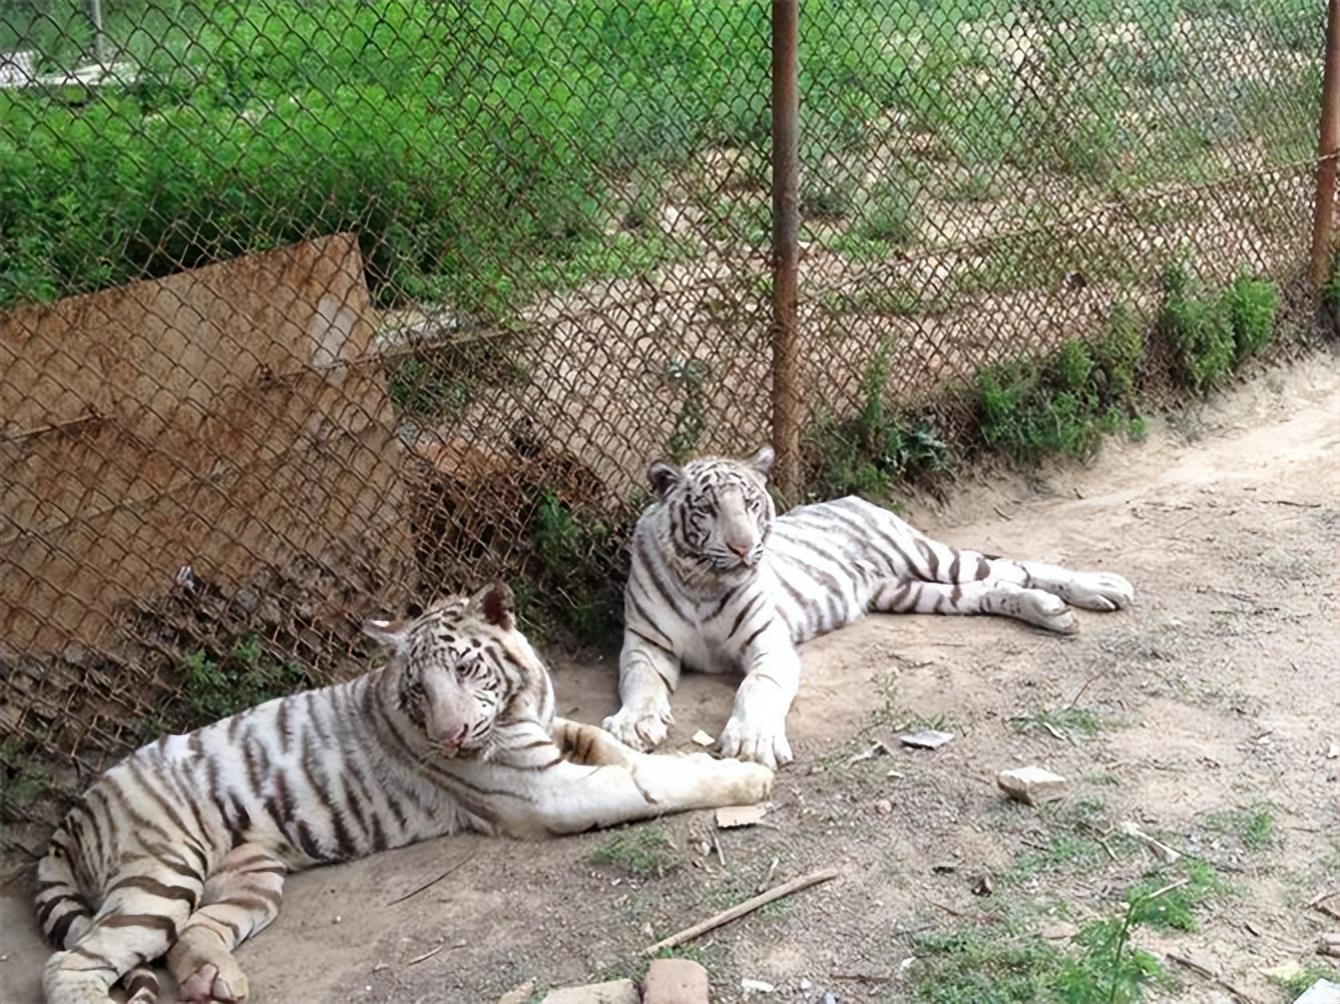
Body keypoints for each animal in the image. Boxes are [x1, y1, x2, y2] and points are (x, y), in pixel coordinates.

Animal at [35, 582, 771, 1004]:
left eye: (466, 671)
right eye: (418, 689)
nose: (450, 738)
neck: (520, 705)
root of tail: (76, 810)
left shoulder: (550, 732)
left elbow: (609, 744)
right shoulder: (544, 791)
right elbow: (648, 779)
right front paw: (745, 777)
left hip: (251, 878)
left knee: (194, 933)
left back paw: (214, 982)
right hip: (160, 874)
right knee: (71, 966)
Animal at [602, 446, 1134, 769]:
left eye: (751, 504)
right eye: (707, 509)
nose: (744, 548)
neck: (703, 584)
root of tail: (856, 498)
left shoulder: (769, 644)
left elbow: (758, 687)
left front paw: (752, 740)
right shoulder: (644, 646)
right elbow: (640, 683)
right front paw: (632, 725)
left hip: (928, 557)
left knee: (1015, 566)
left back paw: (1102, 588)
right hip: (910, 592)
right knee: (993, 588)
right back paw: (1051, 611)